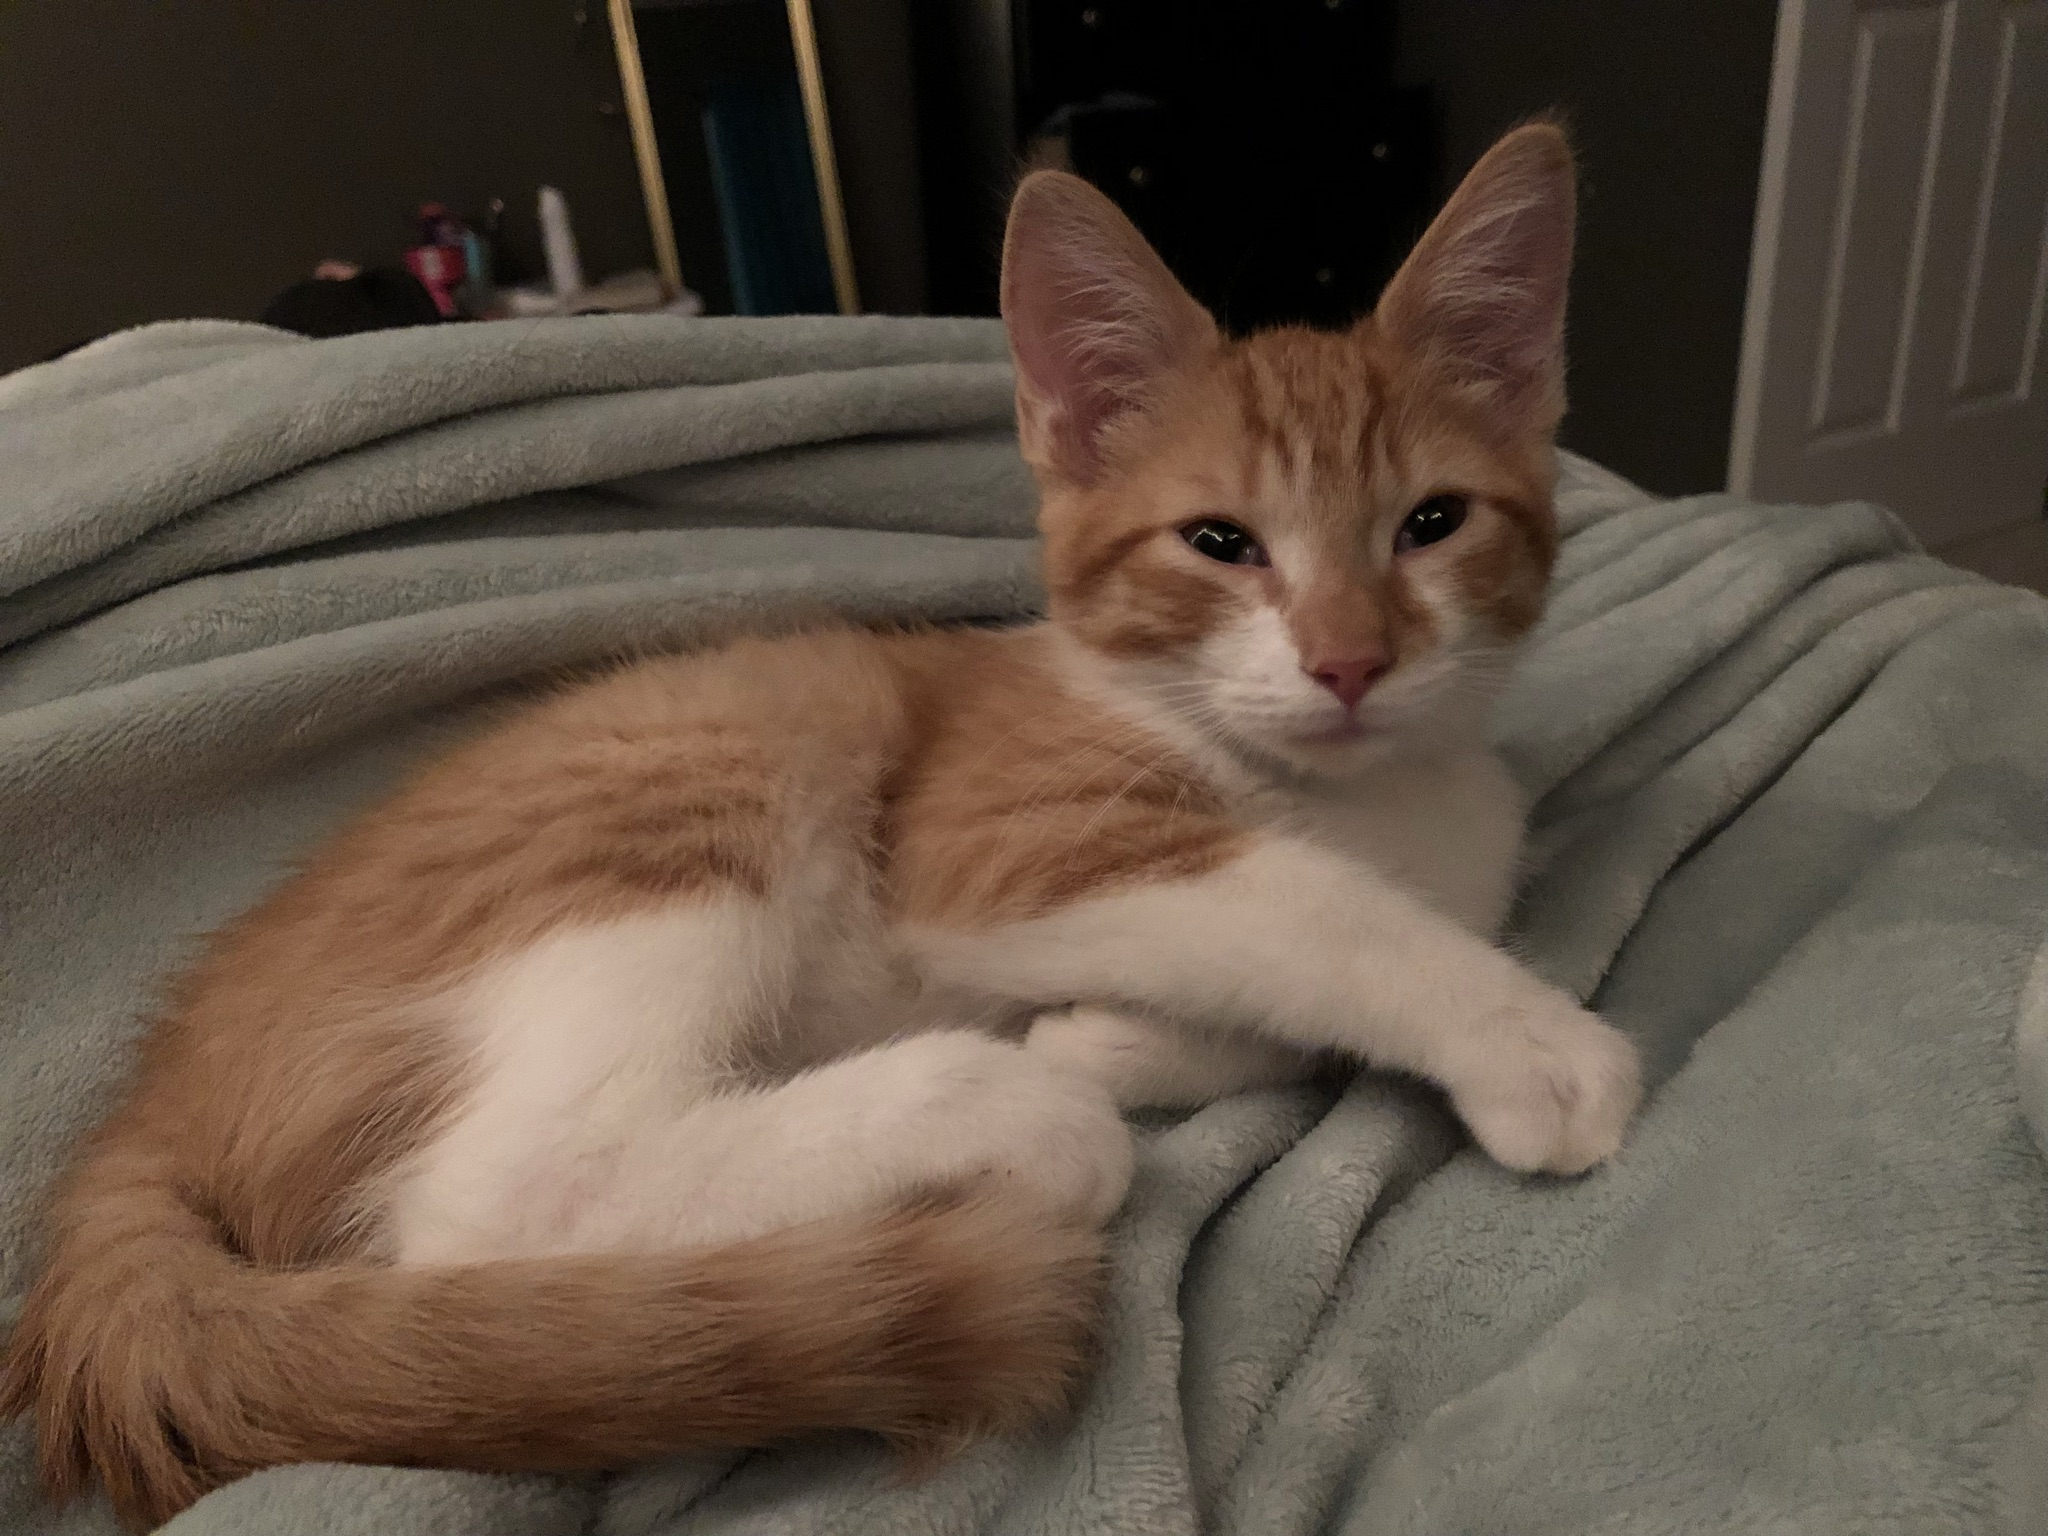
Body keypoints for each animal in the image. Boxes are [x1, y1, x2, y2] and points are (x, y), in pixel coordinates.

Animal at [0, 126, 1630, 1531]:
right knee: (502, 1195)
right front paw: (1536, 1047)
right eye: (1220, 543)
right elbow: (1314, 913)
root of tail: (156, 1087)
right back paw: (994, 1109)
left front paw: (1123, 1034)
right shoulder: (997, 837)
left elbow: (1288, 984)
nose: (1350, 663)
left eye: (1432, 523)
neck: (1353, 792)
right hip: (694, 773)